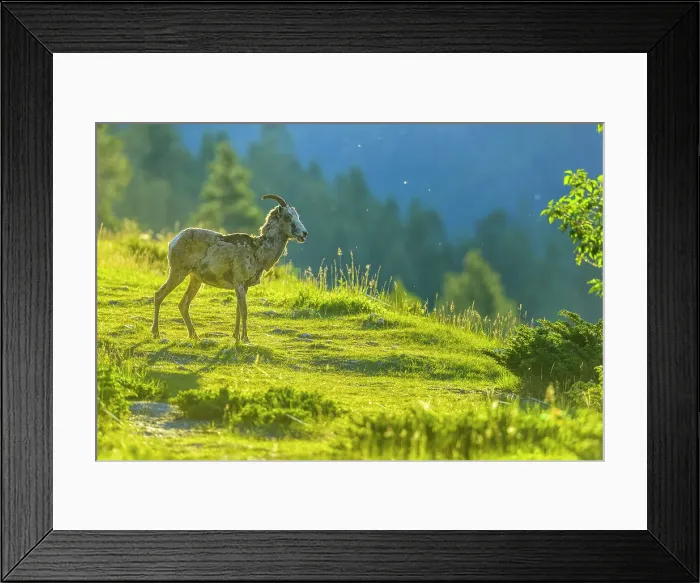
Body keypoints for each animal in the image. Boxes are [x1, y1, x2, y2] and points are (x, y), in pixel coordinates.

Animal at [151, 194, 307, 344]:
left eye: (298, 216)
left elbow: (238, 311)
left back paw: (194, 336)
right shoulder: (239, 283)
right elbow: (244, 311)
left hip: (195, 280)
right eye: (287, 217)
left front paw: (236, 337)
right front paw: (245, 339)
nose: (304, 233)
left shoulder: (244, 287)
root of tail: (173, 241)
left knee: (183, 304)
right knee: (159, 295)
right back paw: (156, 334)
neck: (258, 252)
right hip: (178, 273)